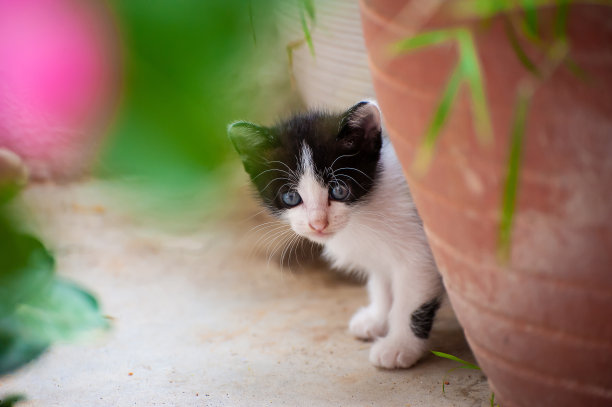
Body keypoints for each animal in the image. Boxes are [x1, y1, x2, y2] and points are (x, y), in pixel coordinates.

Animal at [227, 102, 442, 370]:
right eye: (290, 197)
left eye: (339, 190)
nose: (318, 223)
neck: (363, 214)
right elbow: (381, 283)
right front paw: (377, 319)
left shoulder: (420, 255)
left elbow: (410, 303)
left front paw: (399, 346)